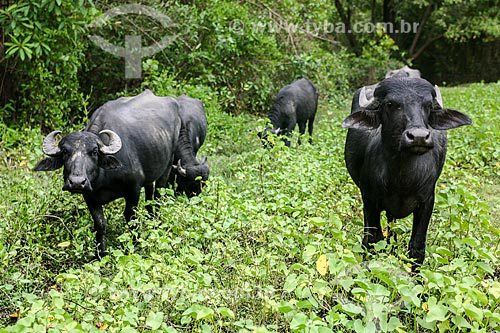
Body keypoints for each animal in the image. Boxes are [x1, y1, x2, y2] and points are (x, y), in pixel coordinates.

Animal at [34, 89, 182, 258]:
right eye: (65, 152)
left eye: (94, 151)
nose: (77, 182)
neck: (103, 179)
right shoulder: (89, 196)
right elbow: (100, 224)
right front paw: (100, 254)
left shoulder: (133, 189)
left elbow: (130, 217)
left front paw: (135, 244)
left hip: (167, 166)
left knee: (157, 196)